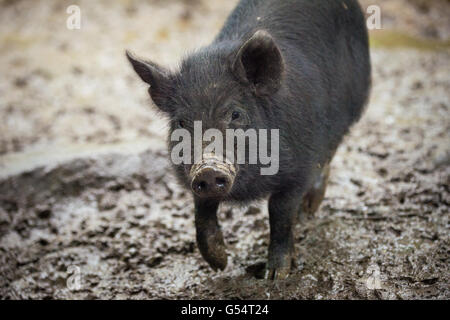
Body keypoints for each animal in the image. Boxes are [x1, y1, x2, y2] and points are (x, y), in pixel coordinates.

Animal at [125, 0, 370, 278]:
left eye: (235, 114)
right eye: (181, 122)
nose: (208, 168)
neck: (249, 189)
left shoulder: (299, 167)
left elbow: (280, 212)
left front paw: (275, 275)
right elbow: (201, 211)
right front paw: (219, 264)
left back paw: (308, 210)